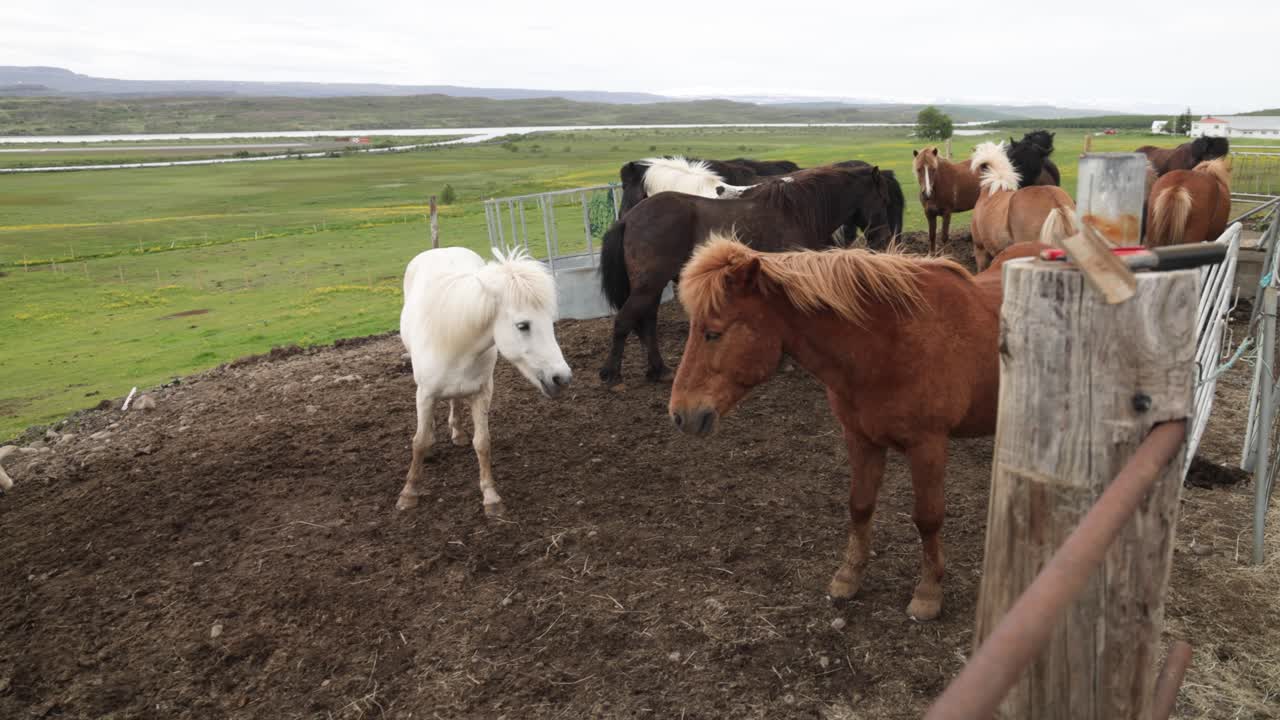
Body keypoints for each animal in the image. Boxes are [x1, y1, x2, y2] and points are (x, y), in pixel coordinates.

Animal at [397, 246, 572, 516]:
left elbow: (482, 443)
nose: (561, 377)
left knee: (455, 401)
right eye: (523, 325)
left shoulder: (482, 393)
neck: (457, 343)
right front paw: (409, 493)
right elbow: (419, 441)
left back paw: (457, 432)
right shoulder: (425, 393)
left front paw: (491, 497)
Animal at [598, 164, 895, 384]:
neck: (798, 211)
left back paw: (658, 370)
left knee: (646, 322)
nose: (882, 239)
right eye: (882, 199)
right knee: (625, 321)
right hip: (649, 285)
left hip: (651, 286)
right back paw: (611, 375)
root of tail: (629, 218)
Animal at [667, 233, 1041, 620]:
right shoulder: (860, 438)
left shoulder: (928, 446)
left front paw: (928, 593)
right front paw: (848, 577)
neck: (887, 343)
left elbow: (928, 517)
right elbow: (859, 505)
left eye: (713, 333)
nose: (680, 414)